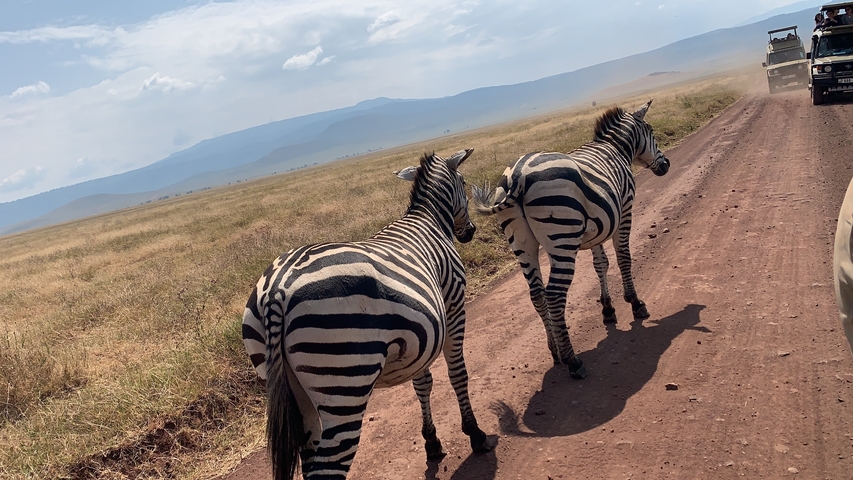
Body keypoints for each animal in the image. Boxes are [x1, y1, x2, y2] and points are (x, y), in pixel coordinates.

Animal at [242, 149, 491, 480]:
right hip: (345, 381)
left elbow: (422, 383)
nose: (470, 232)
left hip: (295, 390)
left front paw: (432, 443)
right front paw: (475, 434)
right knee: (329, 465)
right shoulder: (453, 306)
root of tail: (277, 290)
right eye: (463, 182)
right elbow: (457, 373)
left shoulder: (420, 333)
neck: (428, 218)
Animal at [471, 100, 670, 379]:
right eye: (650, 131)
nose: (666, 165)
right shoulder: (625, 209)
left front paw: (608, 309)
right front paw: (635, 303)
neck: (616, 149)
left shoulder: (599, 224)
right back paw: (572, 360)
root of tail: (517, 175)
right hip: (562, 237)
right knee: (554, 293)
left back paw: (555, 350)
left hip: (521, 242)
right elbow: (623, 257)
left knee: (537, 294)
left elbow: (601, 264)